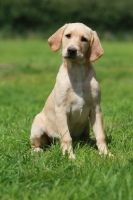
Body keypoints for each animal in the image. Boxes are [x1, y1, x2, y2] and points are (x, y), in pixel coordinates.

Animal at [30, 22, 109, 159]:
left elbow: (101, 135)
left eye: (84, 39)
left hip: (86, 125)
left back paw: (91, 142)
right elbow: (67, 137)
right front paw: (69, 156)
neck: (77, 72)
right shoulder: (61, 110)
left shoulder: (96, 108)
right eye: (68, 35)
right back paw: (37, 151)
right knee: (35, 144)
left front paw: (106, 154)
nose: (71, 50)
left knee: (86, 138)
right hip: (37, 128)